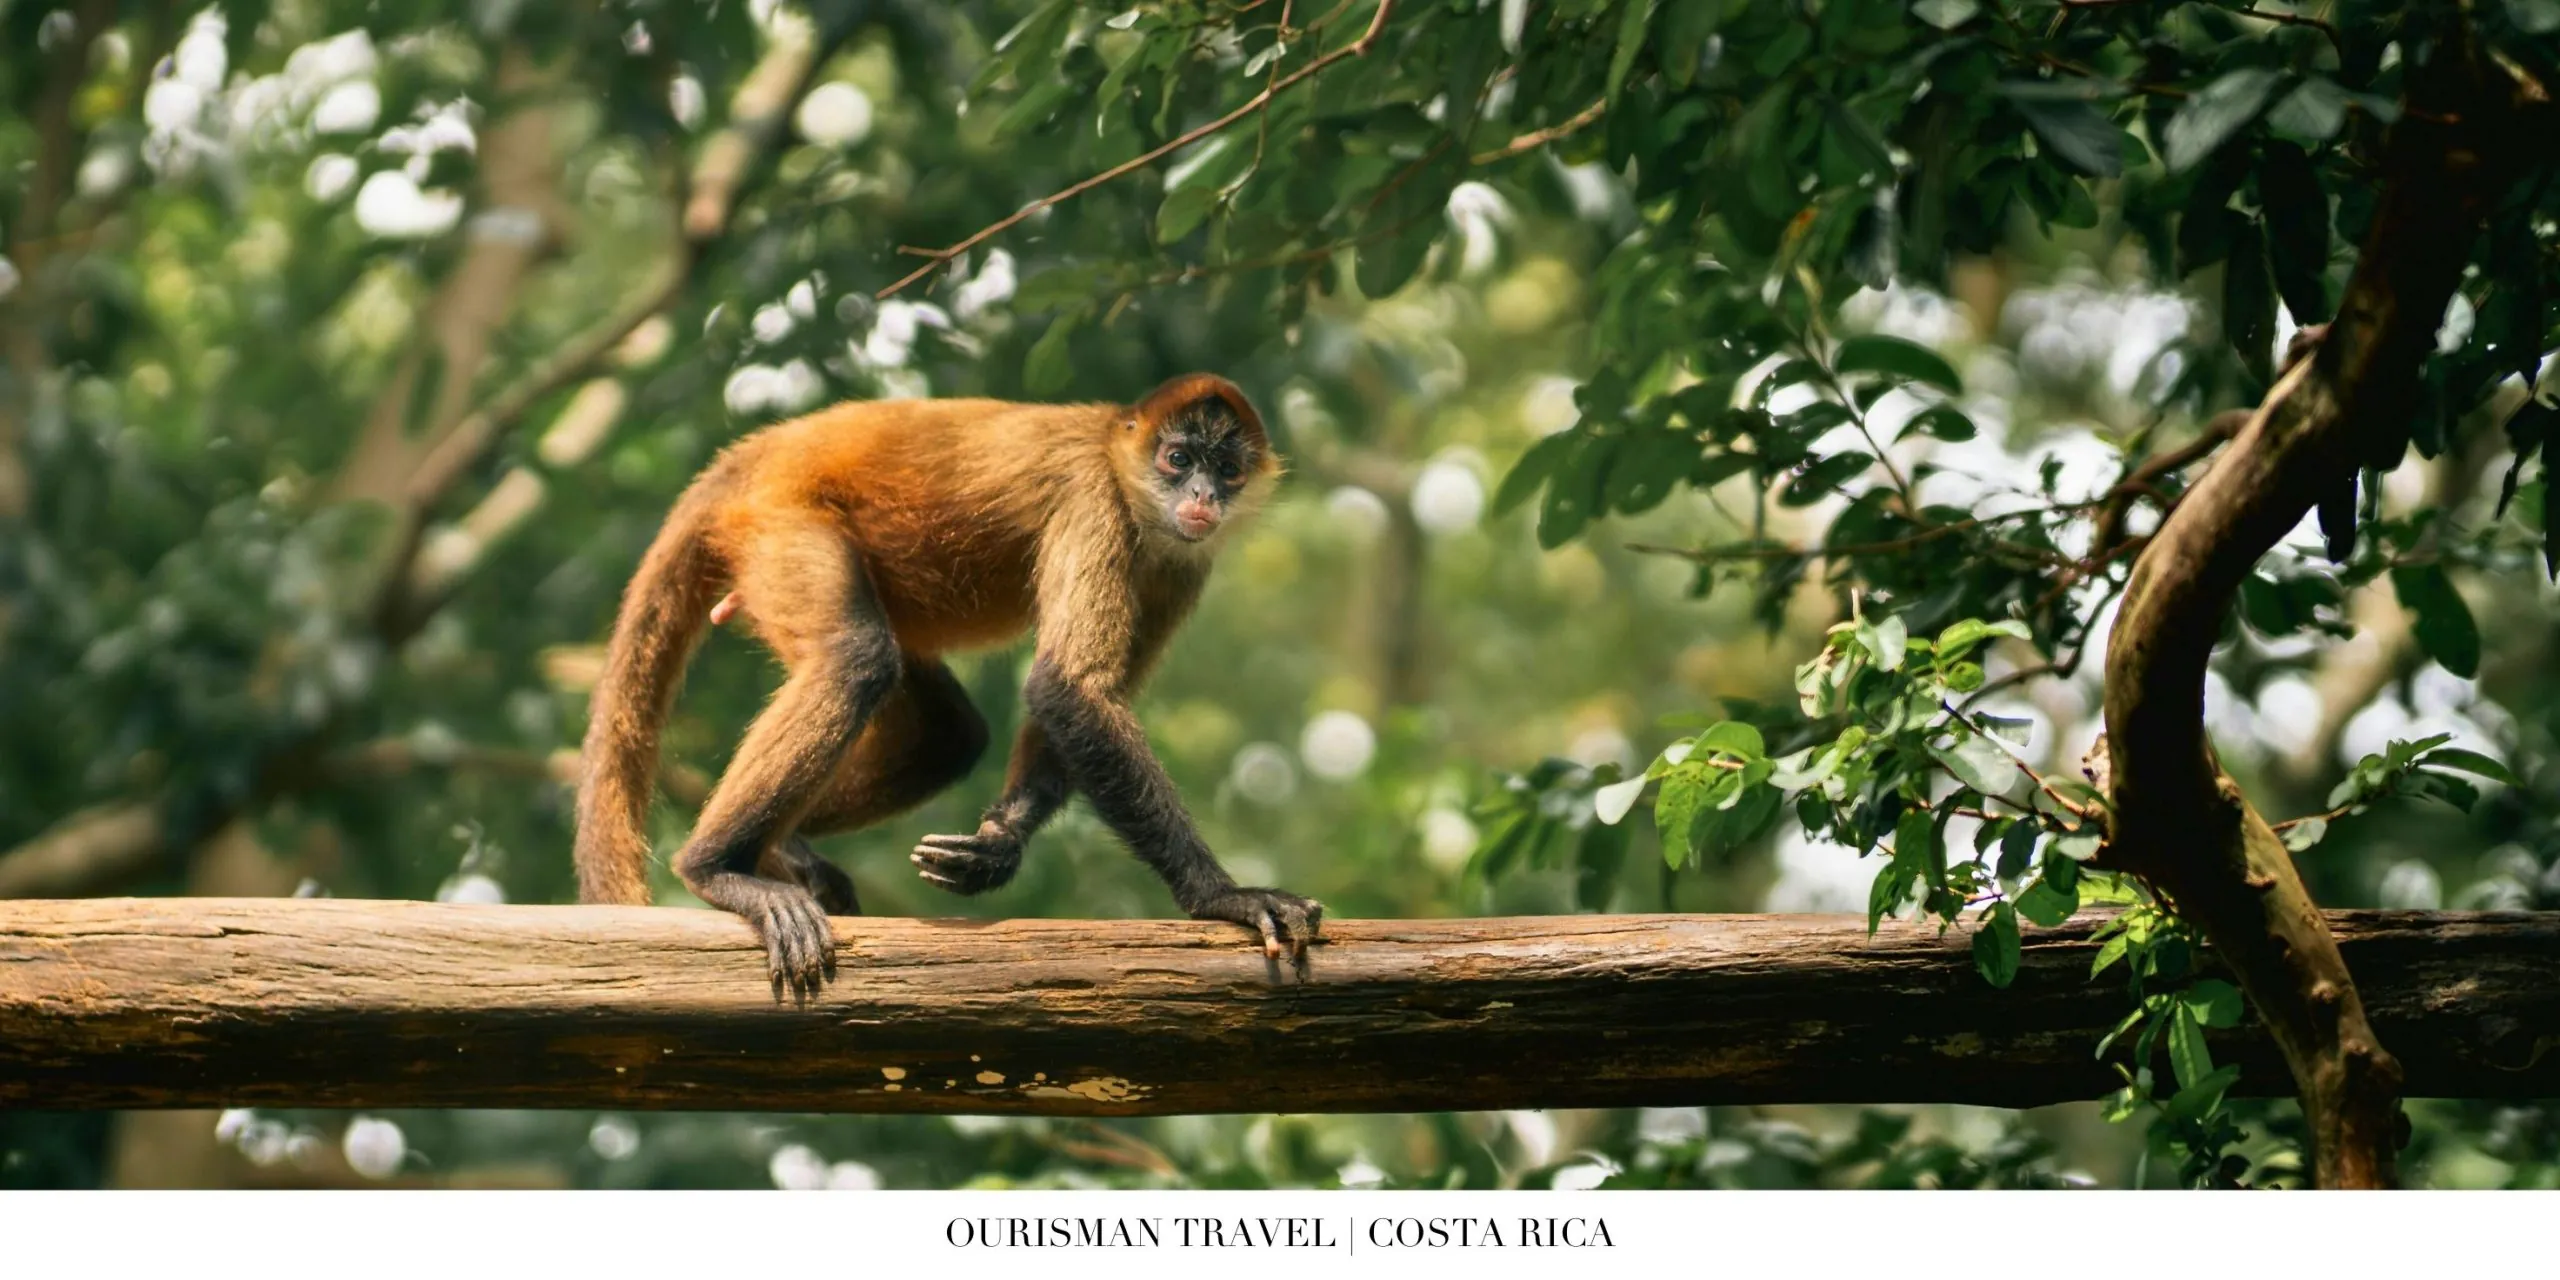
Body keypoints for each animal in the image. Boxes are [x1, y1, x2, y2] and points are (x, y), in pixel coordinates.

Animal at [572, 373, 1321, 998]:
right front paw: (1223, 898)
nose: (1201, 497)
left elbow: (1071, 702)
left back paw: (781, 850)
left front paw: (996, 849)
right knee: (856, 659)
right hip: (778, 519)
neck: (1116, 453)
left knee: (948, 735)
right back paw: (718, 870)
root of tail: (752, 455)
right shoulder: (1095, 496)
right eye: (1178, 460)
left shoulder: (1181, 560)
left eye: (1226, 469)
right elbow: (1068, 687)